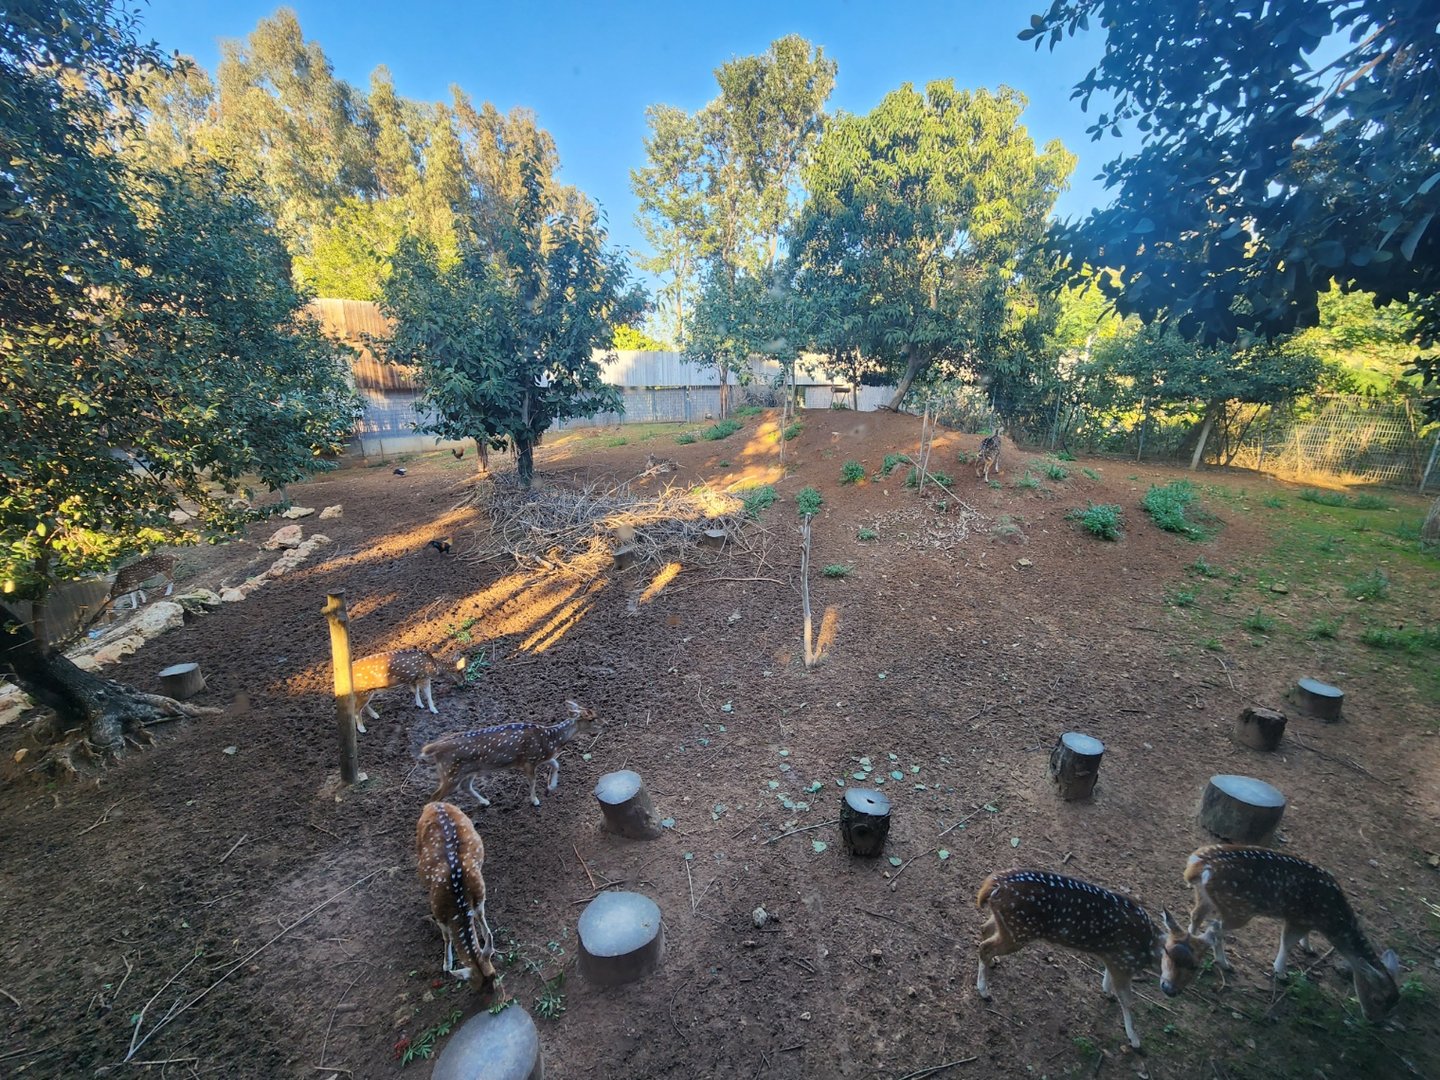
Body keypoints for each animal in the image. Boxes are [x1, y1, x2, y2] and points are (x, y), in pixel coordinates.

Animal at [415, 801, 497, 989]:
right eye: (477, 988)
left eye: (494, 976)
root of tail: (434, 803)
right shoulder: (438, 911)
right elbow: (447, 937)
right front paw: (447, 964)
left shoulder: (480, 892)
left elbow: (480, 914)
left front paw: (486, 935)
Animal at [419, 700, 598, 808]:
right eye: (591, 719)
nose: (604, 725)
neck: (550, 738)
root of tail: (434, 748)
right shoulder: (528, 761)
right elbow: (533, 781)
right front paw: (535, 800)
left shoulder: (541, 757)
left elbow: (556, 763)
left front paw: (552, 786)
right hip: (450, 773)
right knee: (434, 796)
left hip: (469, 771)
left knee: (465, 787)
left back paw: (485, 802)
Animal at [975, 868, 1201, 1049]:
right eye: (1168, 952)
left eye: (1195, 967)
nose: (1170, 989)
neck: (1146, 948)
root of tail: (993, 884)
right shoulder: (1122, 961)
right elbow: (1127, 999)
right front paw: (1135, 1040)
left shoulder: (1112, 958)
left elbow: (1109, 979)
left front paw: (1107, 993)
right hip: (1019, 930)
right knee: (984, 947)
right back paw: (984, 992)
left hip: (1008, 925)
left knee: (984, 929)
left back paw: (992, 964)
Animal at [1183, 845, 1401, 1021]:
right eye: (1378, 999)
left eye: (1394, 1004)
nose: (1374, 1021)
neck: (1331, 918)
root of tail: (1199, 865)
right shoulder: (1298, 919)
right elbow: (1287, 942)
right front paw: (1280, 972)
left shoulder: (1305, 922)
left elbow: (1301, 939)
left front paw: (1309, 948)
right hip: (1238, 908)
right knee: (1214, 927)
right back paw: (1224, 963)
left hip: (1207, 897)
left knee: (1196, 915)